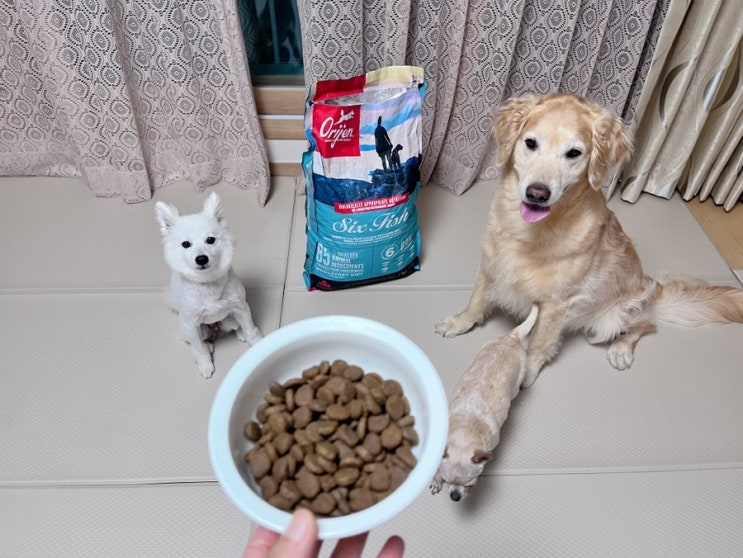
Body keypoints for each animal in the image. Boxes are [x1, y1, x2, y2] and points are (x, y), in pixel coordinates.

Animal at [155, 192, 262, 378]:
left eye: (210, 240)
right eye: (185, 244)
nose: (201, 258)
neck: (208, 282)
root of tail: (215, 331)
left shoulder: (240, 307)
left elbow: (250, 329)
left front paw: (257, 343)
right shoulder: (191, 325)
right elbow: (199, 350)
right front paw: (205, 365)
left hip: (229, 319)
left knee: (237, 326)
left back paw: (240, 333)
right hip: (191, 330)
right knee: (197, 343)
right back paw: (207, 345)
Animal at [430, 305, 538, 502]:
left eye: (470, 484)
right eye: (446, 480)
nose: (455, 496)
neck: (465, 432)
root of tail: (512, 337)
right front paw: (435, 479)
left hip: (518, 378)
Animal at [435, 93, 743, 388]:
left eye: (573, 153)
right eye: (530, 143)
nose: (537, 194)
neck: (529, 231)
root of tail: (654, 288)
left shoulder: (555, 305)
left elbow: (538, 345)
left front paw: (526, 376)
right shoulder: (490, 266)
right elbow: (476, 301)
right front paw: (458, 323)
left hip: (615, 317)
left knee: (645, 326)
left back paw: (621, 350)